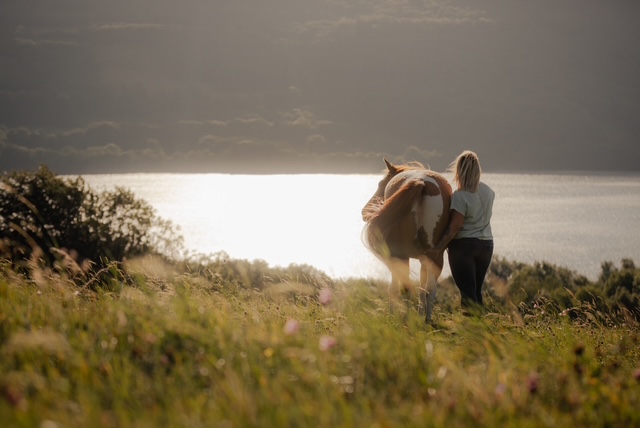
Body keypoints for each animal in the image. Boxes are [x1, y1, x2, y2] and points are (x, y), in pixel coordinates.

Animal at [362, 159, 452, 322]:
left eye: (380, 184)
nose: (364, 212)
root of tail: (422, 183)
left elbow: (394, 288)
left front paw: (392, 315)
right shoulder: (424, 260)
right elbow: (422, 289)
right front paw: (421, 314)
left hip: (401, 256)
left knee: (405, 288)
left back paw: (405, 319)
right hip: (435, 256)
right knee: (430, 289)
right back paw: (426, 319)